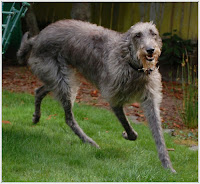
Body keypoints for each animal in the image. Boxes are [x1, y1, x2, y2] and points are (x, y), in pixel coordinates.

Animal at [17, 19, 177, 172]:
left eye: (153, 33)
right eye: (137, 35)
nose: (150, 50)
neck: (132, 65)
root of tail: (37, 38)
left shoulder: (150, 100)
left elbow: (159, 135)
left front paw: (168, 166)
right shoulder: (114, 98)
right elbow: (128, 127)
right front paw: (127, 134)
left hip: (58, 79)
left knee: (39, 91)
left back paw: (36, 117)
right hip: (63, 80)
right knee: (68, 118)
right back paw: (88, 140)